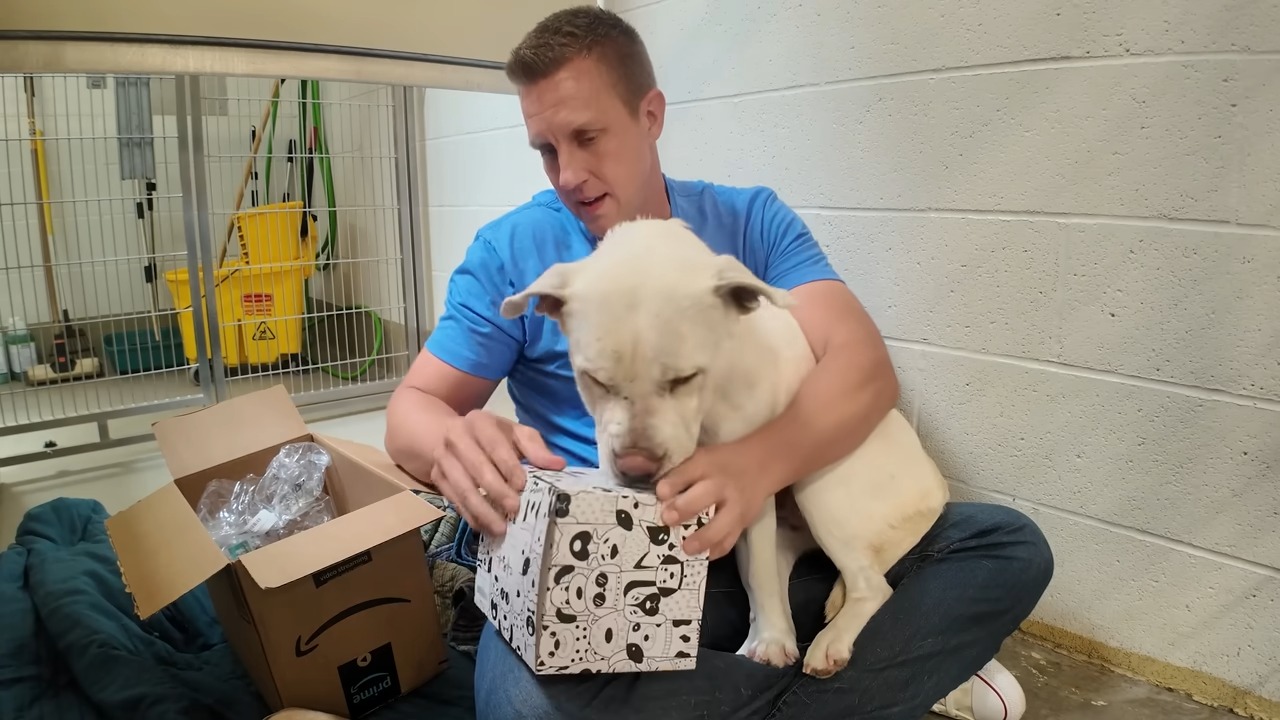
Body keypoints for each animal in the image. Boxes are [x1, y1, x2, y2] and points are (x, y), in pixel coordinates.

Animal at [499, 215, 952, 676]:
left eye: (684, 378)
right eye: (595, 379)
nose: (637, 469)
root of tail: (938, 485)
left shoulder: (749, 484)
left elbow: (762, 575)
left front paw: (771, 644)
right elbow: (761, 577)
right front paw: (770, 639)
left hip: (819, 485)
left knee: (869, 587)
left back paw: (827, 643)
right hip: (789, 529)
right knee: (780, 570)